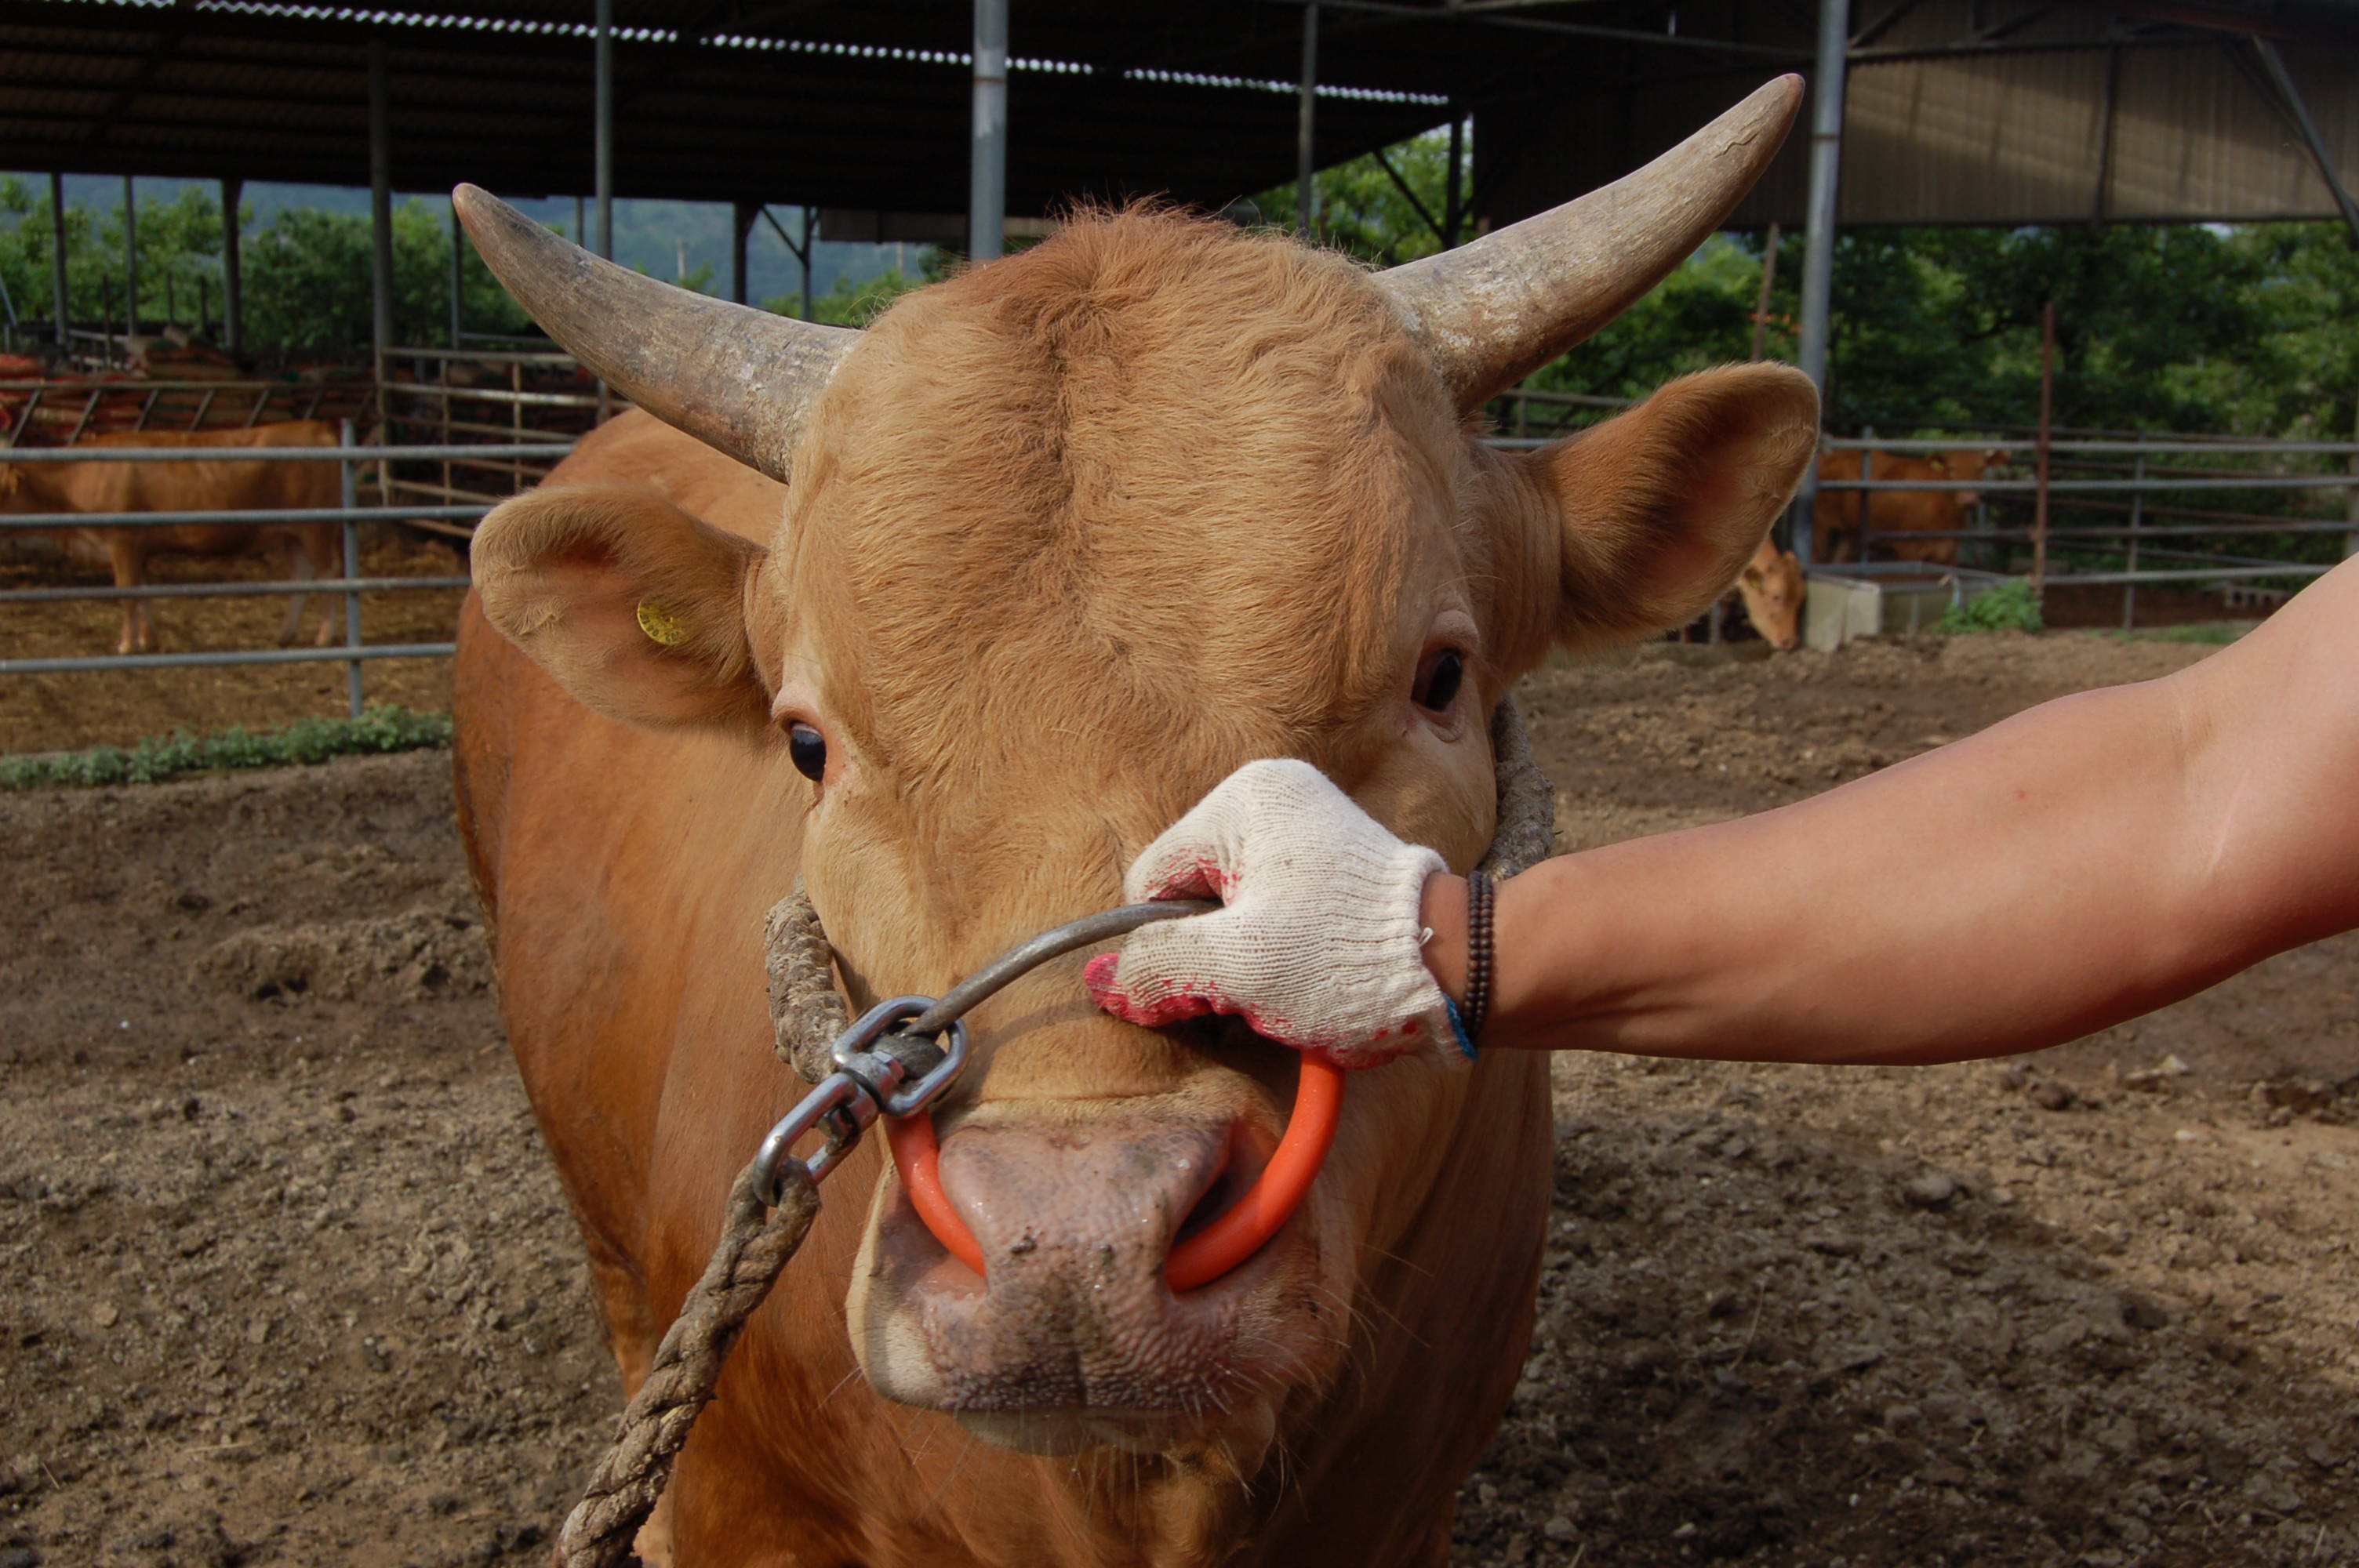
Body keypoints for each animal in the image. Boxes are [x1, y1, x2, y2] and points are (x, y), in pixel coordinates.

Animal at [0, 419, 344, 651]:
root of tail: (316, 428)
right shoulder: (139, 548)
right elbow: (143, 591)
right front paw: (148, 639)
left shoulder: (122, 541)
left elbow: (127, 593)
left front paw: (126, 645)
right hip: (291, 534)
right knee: (302, 576)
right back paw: (285, 634)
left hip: (317, 528)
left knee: (329, 574)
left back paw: (325, 635)